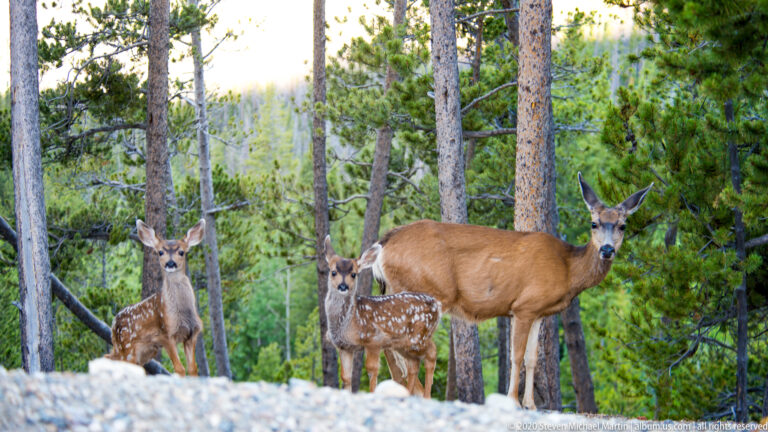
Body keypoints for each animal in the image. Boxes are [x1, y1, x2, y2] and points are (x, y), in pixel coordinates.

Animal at [105, 219, 205, 376]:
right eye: (160, 252)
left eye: (181, 252)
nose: (170, 263)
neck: (182, 314)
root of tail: (113, 324)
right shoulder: (165, 334)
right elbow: (180, 369)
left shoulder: (191, 333)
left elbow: (192, 368)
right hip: (126, 347)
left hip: (144, 351)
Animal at [323, 236, 442, 397]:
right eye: (333, 272)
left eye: (353, 274)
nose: (343, 286)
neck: (350, 321)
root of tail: (437, 305)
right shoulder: (344, 347)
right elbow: (346, 377)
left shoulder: (373, 339)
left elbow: (372, 370)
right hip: (403, 344)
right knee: (413, 365)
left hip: (419, 336)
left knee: (432, 353)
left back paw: (427, 396)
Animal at [370, 173, 653, 409]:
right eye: (594, 223)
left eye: (623, 225)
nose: (607, 250)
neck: (567, 269)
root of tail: (383, 244)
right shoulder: (523, 306)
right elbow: (516, 356)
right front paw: (514, 401)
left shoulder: (538, 312)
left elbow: (532, 358)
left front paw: (532, 405)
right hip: (422, 292)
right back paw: (415, 391)